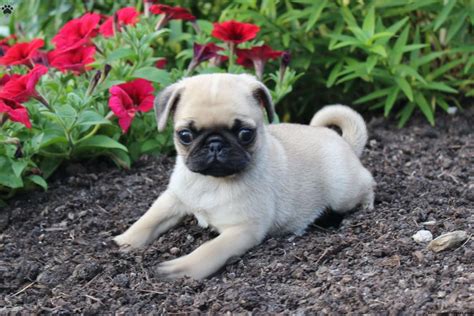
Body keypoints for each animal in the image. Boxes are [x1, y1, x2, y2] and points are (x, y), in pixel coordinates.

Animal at [113, 73, 376, 278]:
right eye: (185, 135)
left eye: (245, 134)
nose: (215, 144)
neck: (210, 181)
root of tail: (343, 141)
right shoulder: (174, 198)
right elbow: (148, 219)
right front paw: (123, 241)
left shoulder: (243, 229)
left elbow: (209, 250)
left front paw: (180, 269)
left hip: (343, 192)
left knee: (367, 184)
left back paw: (364, 208)